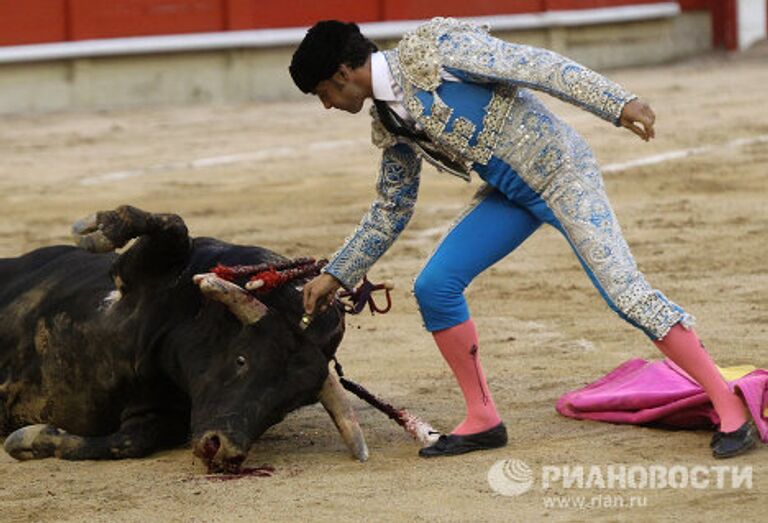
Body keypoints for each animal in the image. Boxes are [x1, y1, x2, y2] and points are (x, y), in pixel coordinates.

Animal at [0, 207, 368, 472]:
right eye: (241, 359)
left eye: (289, 404)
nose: (223, 449)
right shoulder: (132, 274)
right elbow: (174, 226)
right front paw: (97, 228)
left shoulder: (161, 410)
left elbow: (130, 442)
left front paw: (29, 440)